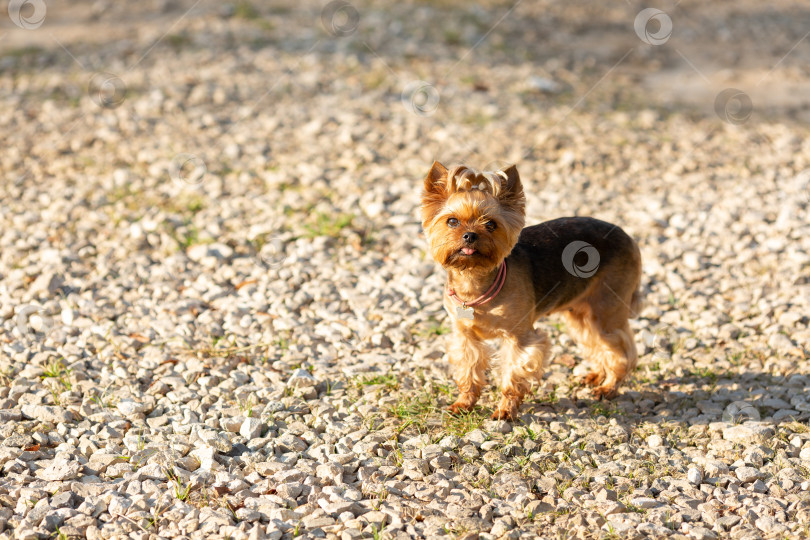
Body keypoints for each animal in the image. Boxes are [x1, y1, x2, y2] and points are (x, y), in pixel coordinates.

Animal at [420, 161, 640, 422]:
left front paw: (506, 410)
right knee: (595, 341)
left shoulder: (520, 338)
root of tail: (628, 237)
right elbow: (469, 372)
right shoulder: (465, 337)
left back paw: (609, 386)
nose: (470, 235)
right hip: (582, 312)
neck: (474, 281)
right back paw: (597, 375)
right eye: (452, 221)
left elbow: (513, 375)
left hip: (606, 311)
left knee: (622, 349)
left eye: (491, 224)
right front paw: (464, 404)